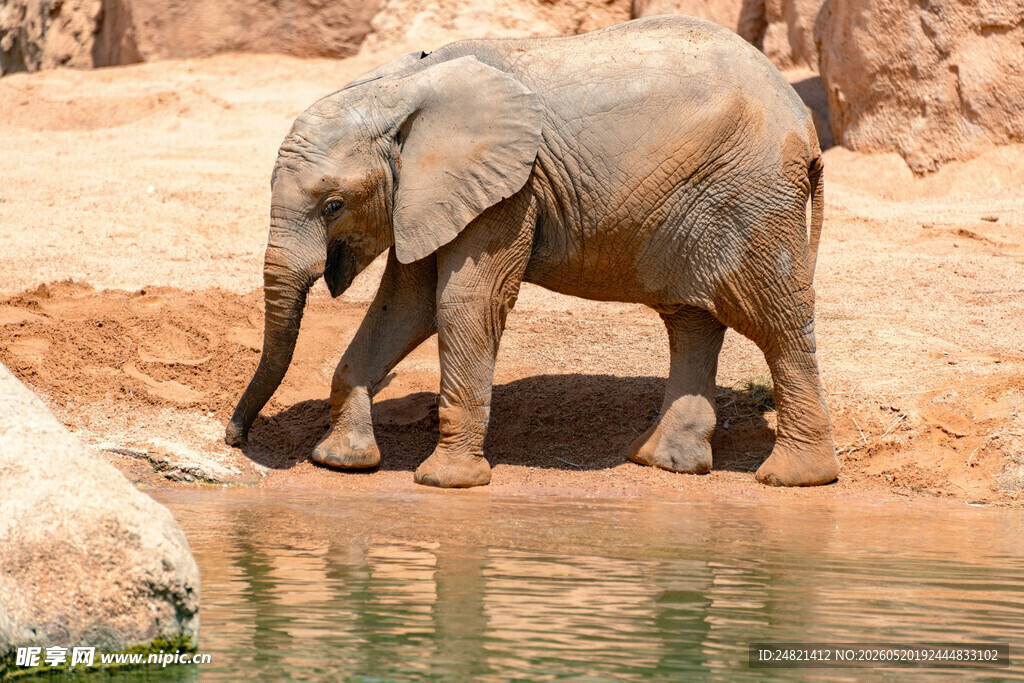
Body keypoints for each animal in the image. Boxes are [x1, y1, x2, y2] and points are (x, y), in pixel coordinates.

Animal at [225, 15, 840, 489]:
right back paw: (662, 463)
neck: (399, 89)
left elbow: (464, 302)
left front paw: (445, 483)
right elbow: (405, 306)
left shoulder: (509, 189)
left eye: (333, 205)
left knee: (776, 322)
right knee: (692, 320)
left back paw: (793, 478)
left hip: (754, 195)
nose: (234, 437)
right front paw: (342, 463)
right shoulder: (430, 192)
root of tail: (803, 120)